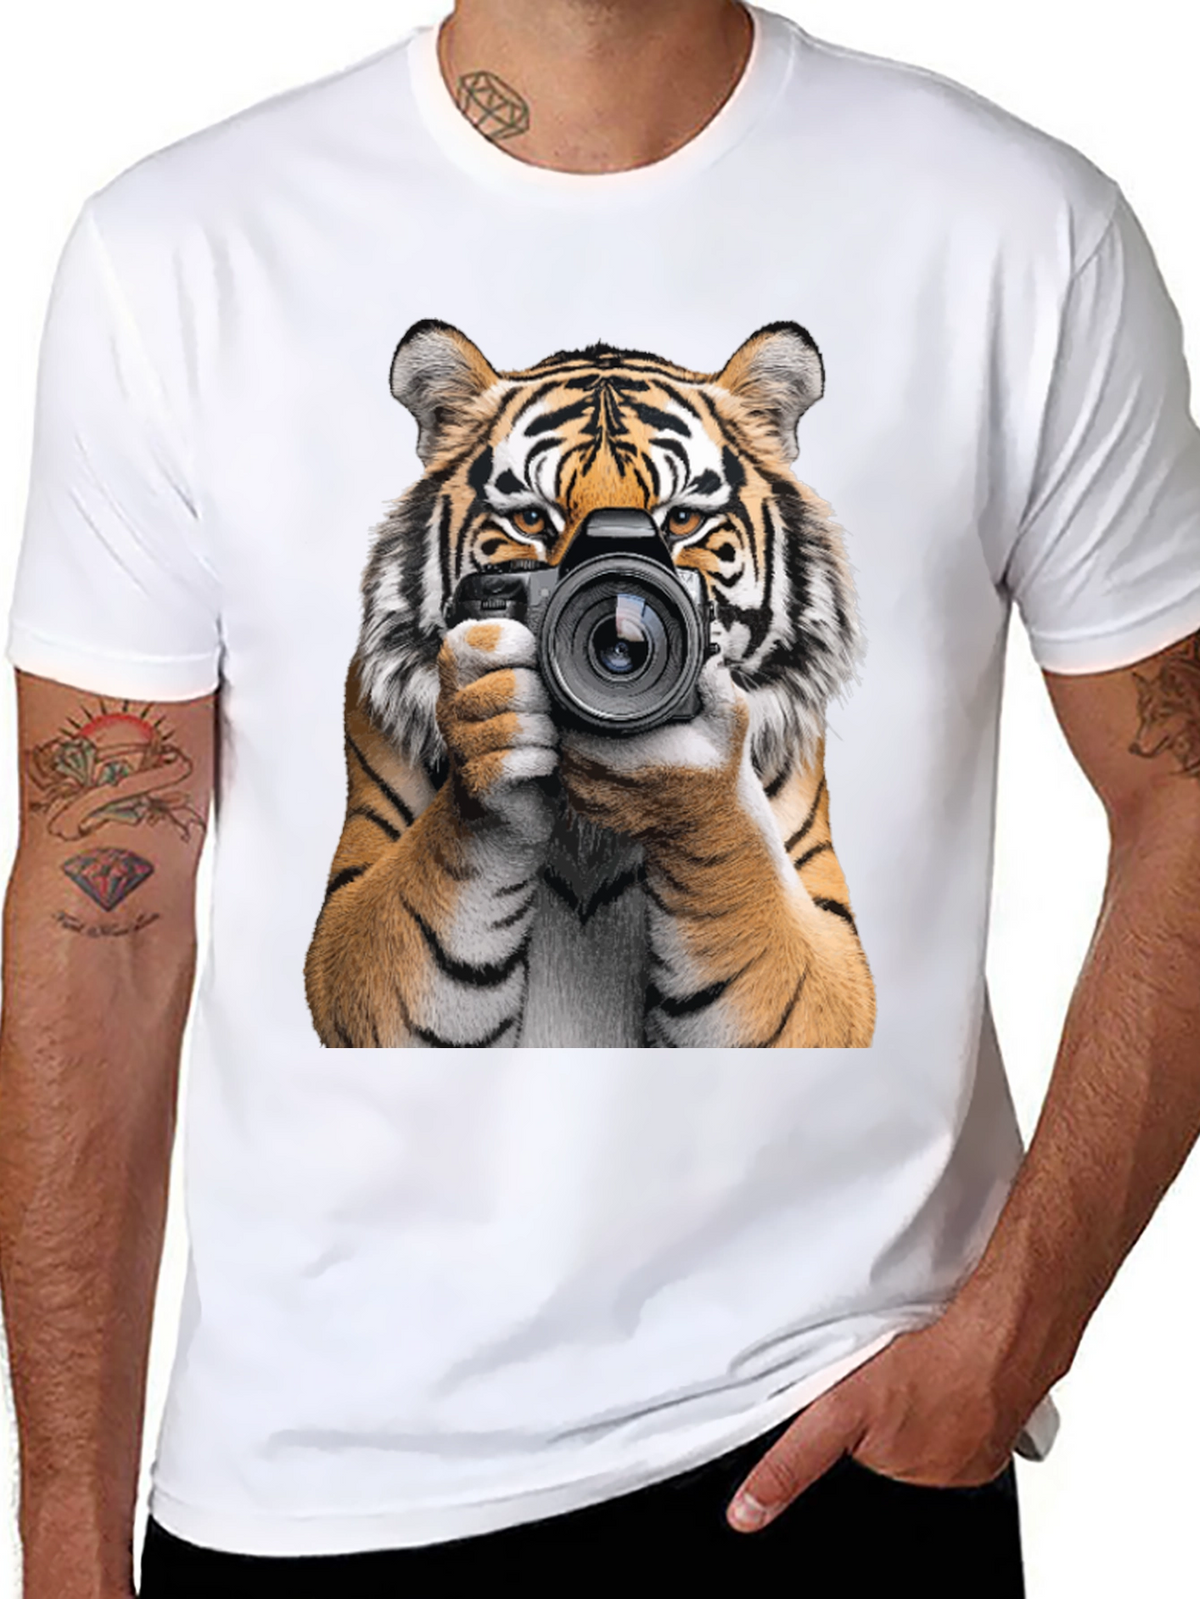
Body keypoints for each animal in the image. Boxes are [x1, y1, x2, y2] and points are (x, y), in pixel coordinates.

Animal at [302, 318, 877, 1049]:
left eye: (683, 520)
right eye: (530, 520)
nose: (622, 642)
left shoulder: (829, 967)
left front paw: (692, 796)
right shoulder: (354, 940)